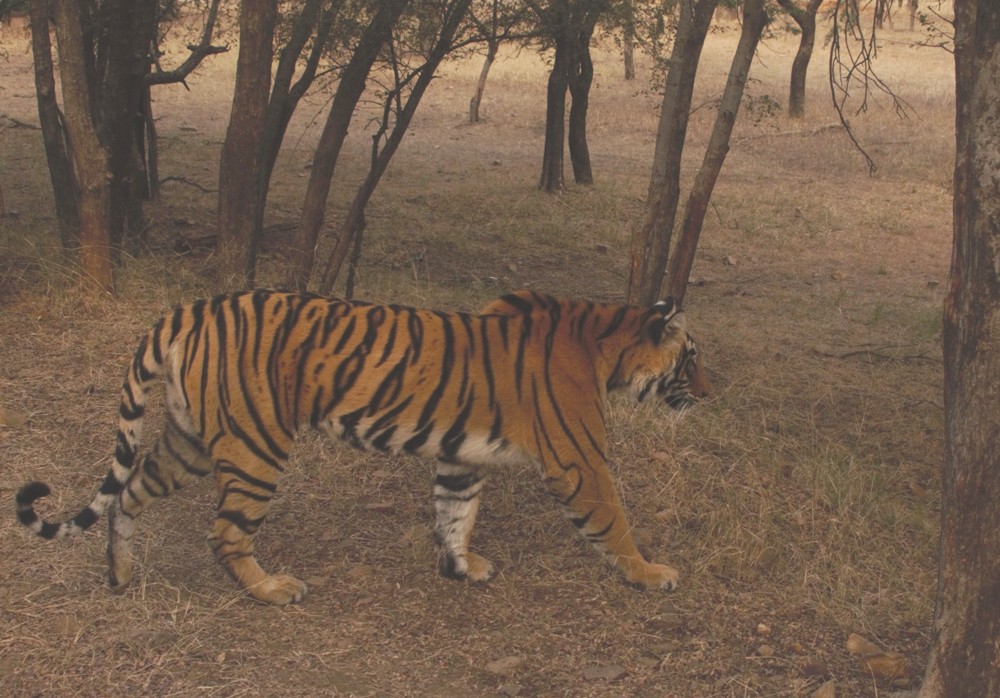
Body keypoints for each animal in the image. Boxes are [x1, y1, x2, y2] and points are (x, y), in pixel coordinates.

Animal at [13, 288, 704, 604]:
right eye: (691, 359)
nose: (710, 389)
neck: (605, 346)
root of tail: (188, 310)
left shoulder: (461, 457)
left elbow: (455, 513)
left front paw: (460, 566)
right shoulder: (579, 460)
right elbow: (613, 522)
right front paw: (650, 573)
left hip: (189, 441)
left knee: (127, 495)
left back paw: (121, 574)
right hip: (255, 445)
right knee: (225, 532)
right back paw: (271, 589)